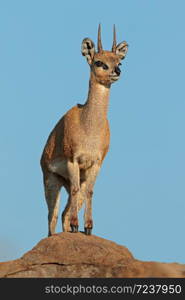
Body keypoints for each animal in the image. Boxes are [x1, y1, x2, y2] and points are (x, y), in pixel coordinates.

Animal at [40, 24, 129, 236]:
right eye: (99, 62)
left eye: (119, 61)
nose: (117, 71)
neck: (89, 128)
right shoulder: (73, 160)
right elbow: (73, 192)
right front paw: (77, 224)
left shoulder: (95, 164)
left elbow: (90, 191)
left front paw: (87, 227)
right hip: (51, 181)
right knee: (52, 218)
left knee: (64, 213)